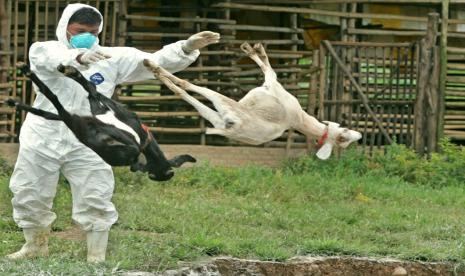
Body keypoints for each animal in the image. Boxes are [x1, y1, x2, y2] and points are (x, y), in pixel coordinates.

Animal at [9, 62, 194, 181]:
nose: (134, 167)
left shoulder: (102, 112)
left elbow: (91, 92)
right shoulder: (109, 110)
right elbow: (92, 89)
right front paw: (73, 72)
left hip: (74, 121)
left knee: (55, 101)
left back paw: (26, 82)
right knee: (54, 106)